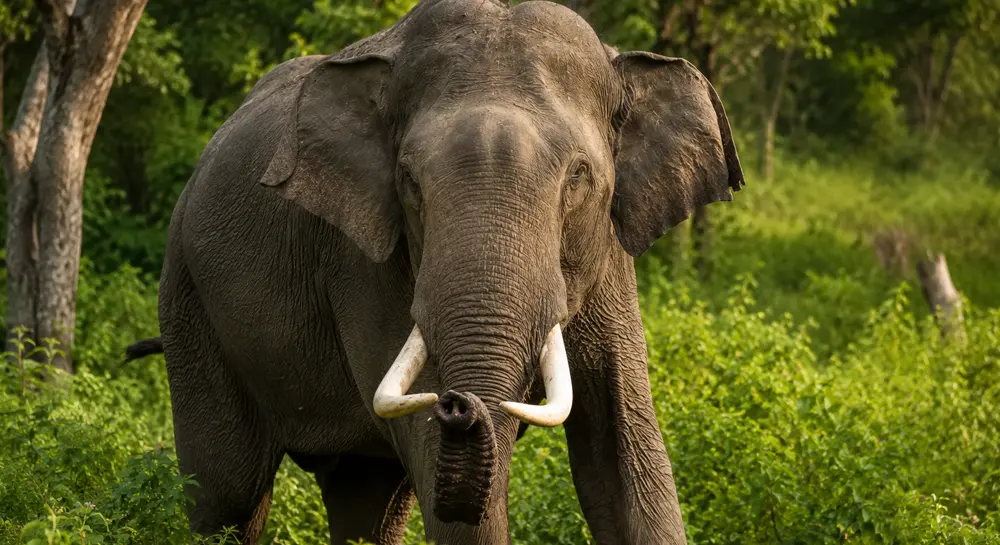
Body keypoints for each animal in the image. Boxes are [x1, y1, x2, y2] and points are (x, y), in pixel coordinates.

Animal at [124, 0, 744, 543]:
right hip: (188, 297)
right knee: (227, 493)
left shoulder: (611, 256)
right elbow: (434, 458)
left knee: (365, 499)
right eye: (409, 182)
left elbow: (625, 457)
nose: (457, 403)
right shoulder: (364, 262)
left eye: (579, 178)